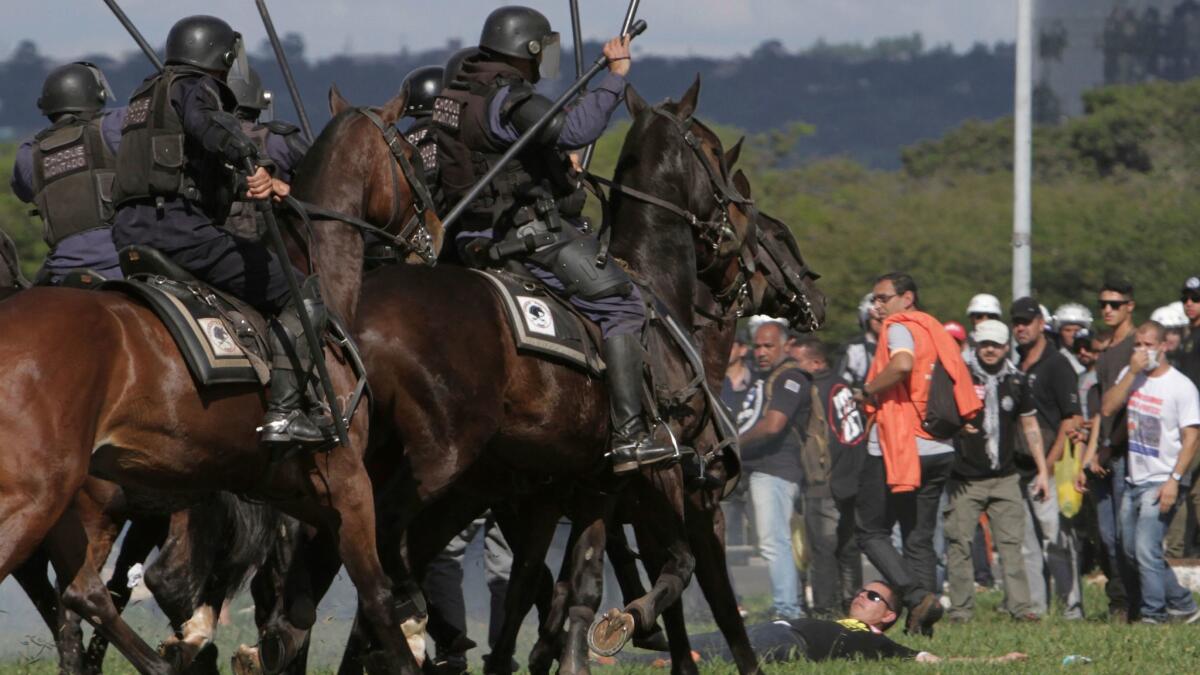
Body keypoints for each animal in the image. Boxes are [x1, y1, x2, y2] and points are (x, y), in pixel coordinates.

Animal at [0, 90, 441, 672]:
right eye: (410, 157)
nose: (435, 234)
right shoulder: (345, 480)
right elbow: (374, 594)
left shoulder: (289, 489)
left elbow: (296, 606)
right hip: (40, 497)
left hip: (72, 506)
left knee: (83, 595)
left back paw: (162, 659)